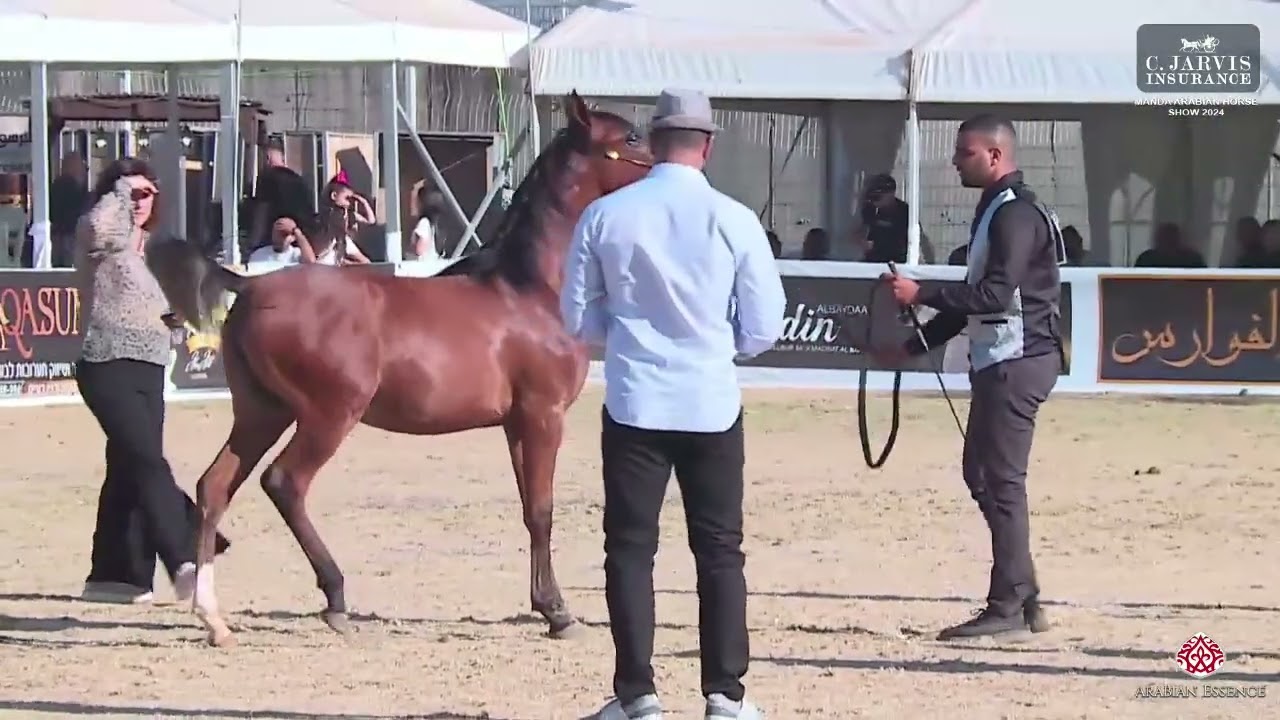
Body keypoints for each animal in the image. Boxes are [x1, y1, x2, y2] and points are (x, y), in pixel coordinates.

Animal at [145, 91, 654, 647]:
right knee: (285, 483)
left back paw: (214, 618)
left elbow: (528, 510)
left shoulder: (517, 424)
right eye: (630, 138)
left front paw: (545, 605)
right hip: (328, 415)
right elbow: (542, 511)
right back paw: (335, 598)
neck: (529, 290)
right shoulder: (544, 416)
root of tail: (252, 284)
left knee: (215, 487)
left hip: (262, 413)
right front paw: (558, 613)